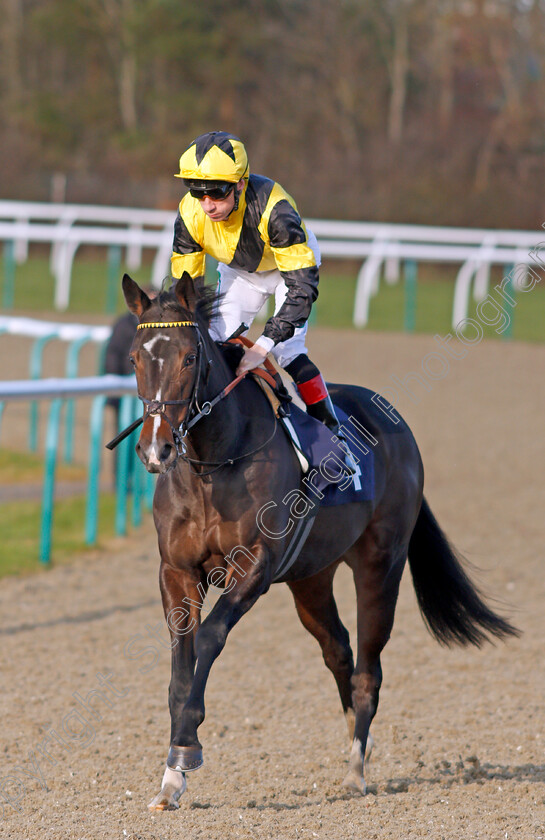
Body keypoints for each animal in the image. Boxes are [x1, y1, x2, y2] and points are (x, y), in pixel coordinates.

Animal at [120, 272, 520, 812]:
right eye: (135, 358)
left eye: (187, 357)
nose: (156, 448)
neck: (216, 463)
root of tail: (398, 426)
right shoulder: (177, 573)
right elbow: (180, 661)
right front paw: (171, 776)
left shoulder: (256, 566)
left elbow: (208, 638)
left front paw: (187, 749)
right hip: (311, 578)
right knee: (339, 651)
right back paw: (357, 743)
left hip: (380, 566)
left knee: (369, 667)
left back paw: (356, 771)